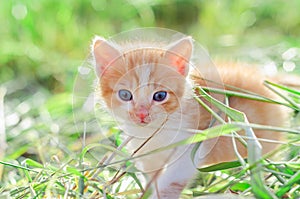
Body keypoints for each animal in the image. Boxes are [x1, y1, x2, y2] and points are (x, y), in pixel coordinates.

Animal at [92, 35, 286, 198]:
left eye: (160, 96)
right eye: (125, 95)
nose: (141, 114)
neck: (154, 132)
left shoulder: (191, 146)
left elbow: (171, 181)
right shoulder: (146, 156)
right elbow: (152, 178)